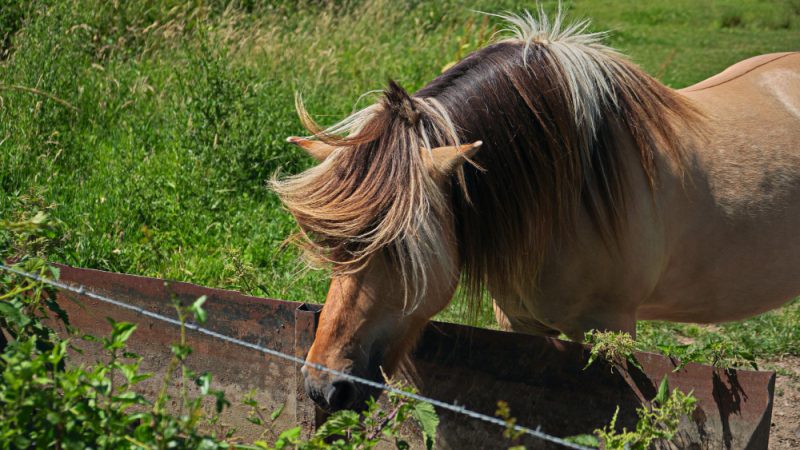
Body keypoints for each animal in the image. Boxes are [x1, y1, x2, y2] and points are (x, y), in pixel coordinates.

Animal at [270, 10, 800, 412]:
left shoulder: (610, 329)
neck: (568, 194)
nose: (324, 388)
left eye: (399, 250)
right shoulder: (519, 322)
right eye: (331, 247)